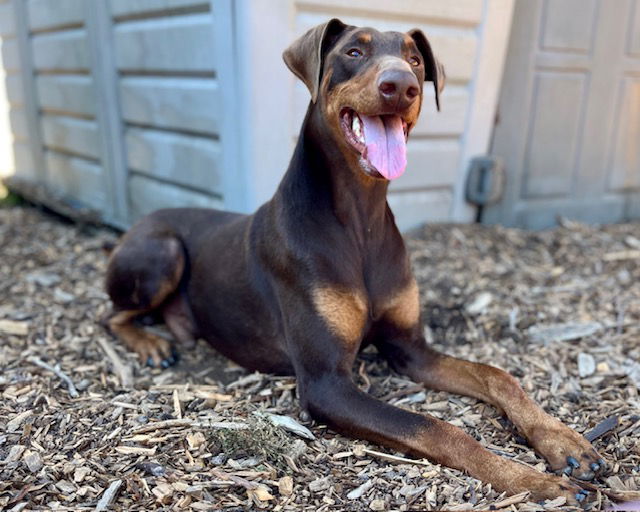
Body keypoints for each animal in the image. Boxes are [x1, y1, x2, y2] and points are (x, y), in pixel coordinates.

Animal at [105, 17, 604, 504]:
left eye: (414, 58)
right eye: (353, 51)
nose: (401, 85)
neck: (361, 220)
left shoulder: (410, 350)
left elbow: (498, 376)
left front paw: (564, 441)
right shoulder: (327, 383)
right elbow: (436, 426)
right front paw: (532, 481)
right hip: (162, 250)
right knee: (108, 315)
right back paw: (149, 344)